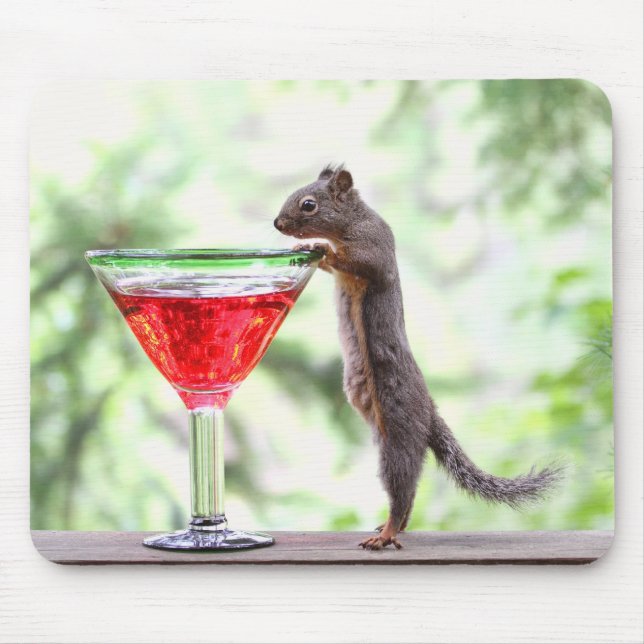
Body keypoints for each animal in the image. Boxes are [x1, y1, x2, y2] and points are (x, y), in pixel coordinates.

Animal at [274, 165, 563, 550]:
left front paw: (319, 246)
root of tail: (429, 412)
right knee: (407, 496)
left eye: (308, 204)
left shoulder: (375, 248)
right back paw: (389, 528)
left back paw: (386, 534)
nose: (278, 223)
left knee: (402, 489)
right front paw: (305, 246)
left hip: (398, 436)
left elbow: (357, 262)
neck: (353, 221)